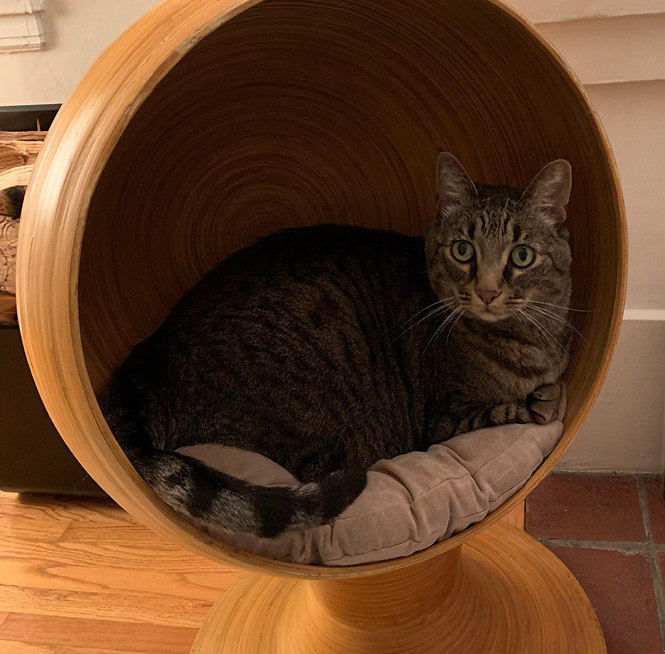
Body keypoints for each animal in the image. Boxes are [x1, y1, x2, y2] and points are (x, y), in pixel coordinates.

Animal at [102, 154, 572, 540]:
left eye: (522, 256)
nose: (488, 292)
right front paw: (544, 400)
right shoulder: (443, 422)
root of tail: (146, 360)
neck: (529, 338)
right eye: (462, 250)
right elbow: (521, 409)